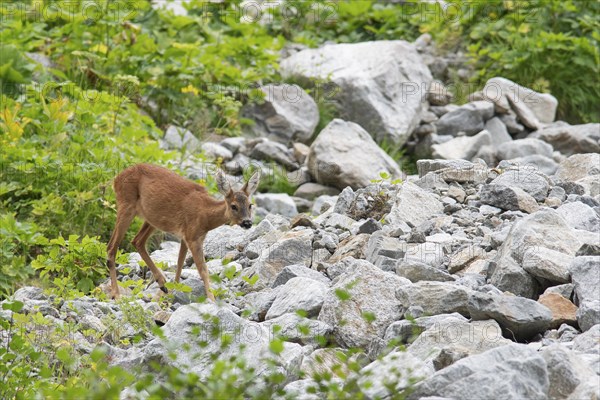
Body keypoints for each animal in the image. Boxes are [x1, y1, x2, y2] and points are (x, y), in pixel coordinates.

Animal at [107, 162, 260, 300]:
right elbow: (202, 269)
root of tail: (116, 179)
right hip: (126, 205)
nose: (247, 222)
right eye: (234, 206)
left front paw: (173, 289)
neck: (205, 216)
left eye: (250, 205)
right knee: (111, 247)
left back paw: (162, 284)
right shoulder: (192, 237)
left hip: (152, 218)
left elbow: (180, 262)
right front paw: (211, 299)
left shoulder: (187, 237)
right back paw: (116, 294)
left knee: (137, 241)